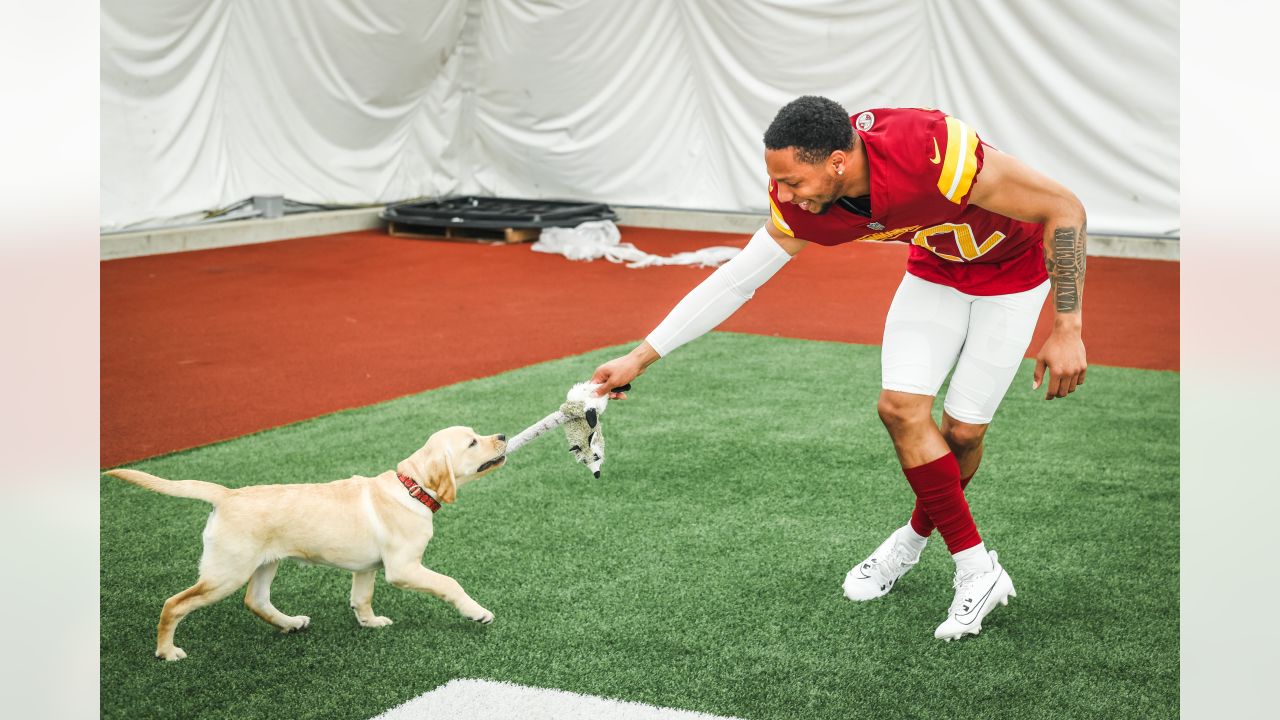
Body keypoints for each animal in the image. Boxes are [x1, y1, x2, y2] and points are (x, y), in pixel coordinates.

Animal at [106, 422, 504, 661]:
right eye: (472, 441)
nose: (502, 437)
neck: (412, 487)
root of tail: (227, 495)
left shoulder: (367, 568)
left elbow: (361, 598)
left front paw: (370, 623)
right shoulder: (403, 568)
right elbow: (449, 583)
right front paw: (477, 612)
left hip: (265, 563)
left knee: (255, 600)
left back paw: (290, 623)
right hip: (225, 573)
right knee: (174, 604)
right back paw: (167, 651)